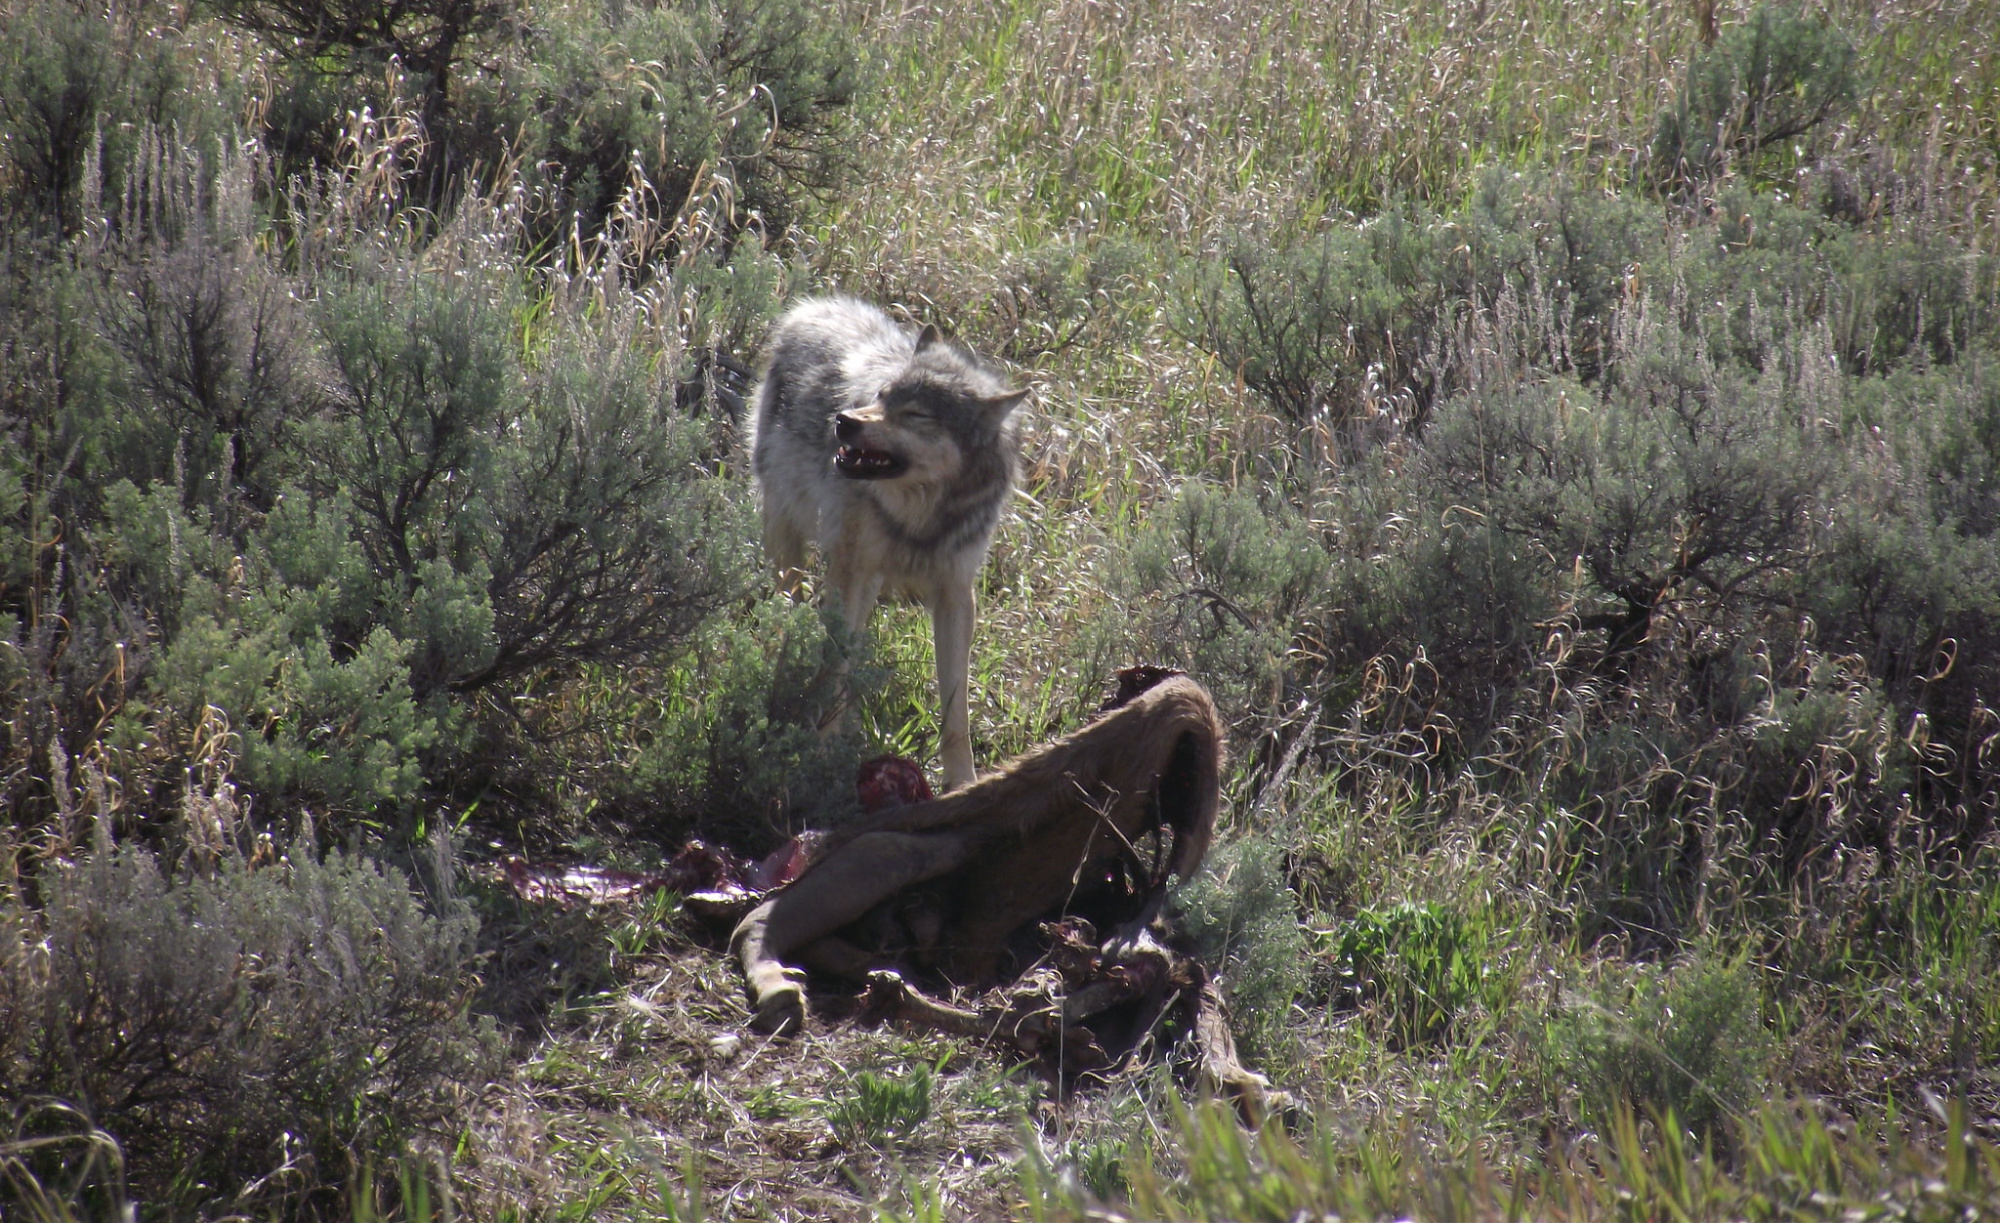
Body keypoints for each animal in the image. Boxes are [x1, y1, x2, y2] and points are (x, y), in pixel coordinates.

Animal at [752, 297, 1032, 791]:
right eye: (882, 396)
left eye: (916, 415)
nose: (843, 420)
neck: (919, 519)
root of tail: (813, 306)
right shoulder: (851, 575)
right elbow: (835, 668)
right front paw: (822, 759)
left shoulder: (956, 594)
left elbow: (956, 708)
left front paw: (962, 783)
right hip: (792, 544)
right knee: (792, 612)